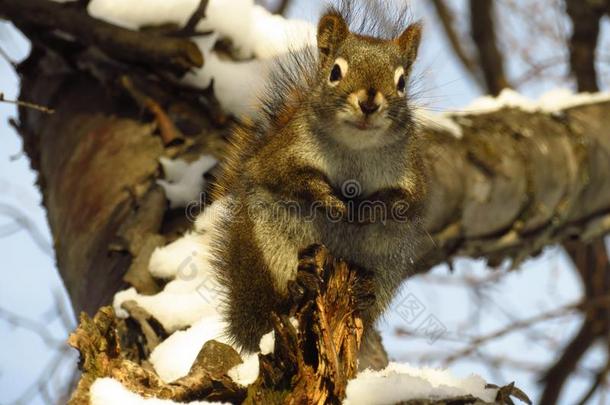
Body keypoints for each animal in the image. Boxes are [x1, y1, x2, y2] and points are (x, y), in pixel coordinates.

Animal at [207, 2, 426, 356]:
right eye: (335, 72)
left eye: (402, 82)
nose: (369, 102)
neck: (354, 149)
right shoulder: (281, 155)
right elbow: (293, 178)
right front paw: (330, 201)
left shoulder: (412, 173)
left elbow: (403, 202)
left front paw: (370, 209)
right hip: (269, 241)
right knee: (277, 296)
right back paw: (298, 284)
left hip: (390, 259)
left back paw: (365, 292)